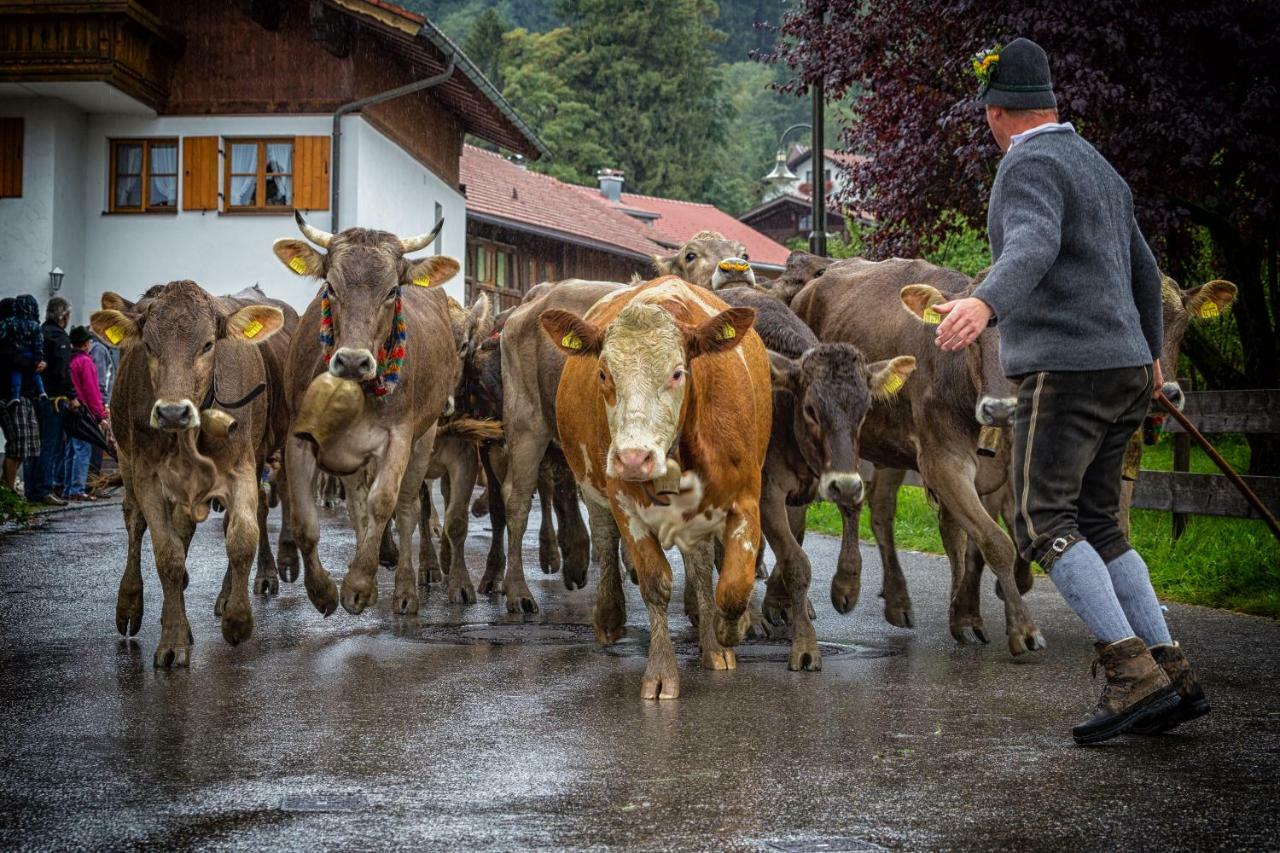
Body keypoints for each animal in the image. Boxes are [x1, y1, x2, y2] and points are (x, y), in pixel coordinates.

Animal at [90, 279, 294, 666]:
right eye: (149, 346)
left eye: (208, 344)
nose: (172, 412)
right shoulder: (146, 474)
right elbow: (167, 553)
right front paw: (173, 639)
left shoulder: (242, 466)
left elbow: (241, 535)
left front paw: (237, 619)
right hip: (124, 457)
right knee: (135, 521)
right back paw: (131, 605)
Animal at [272, 208, 463, 614]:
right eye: (329, 286)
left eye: (392, 291)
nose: (353, 361)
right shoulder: (299, 438)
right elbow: (306, 520)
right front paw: (324, 590)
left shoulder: (399, 437)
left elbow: (383, 503)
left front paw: (359, 584)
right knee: (357, 500)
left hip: (424, 438)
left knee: (407, 508)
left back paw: (404, 587)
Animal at [540, 275, 768, 696]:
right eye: (603, 373)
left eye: (677, 373)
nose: (633, 458)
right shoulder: (624, 503)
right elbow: (655, 581)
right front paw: (661, 671)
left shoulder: (745, 497)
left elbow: (733, 585)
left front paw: (732, 627)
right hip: (592, 485)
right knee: (604, 538)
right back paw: (610, 615)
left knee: (700, 565)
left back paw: (713, 644)